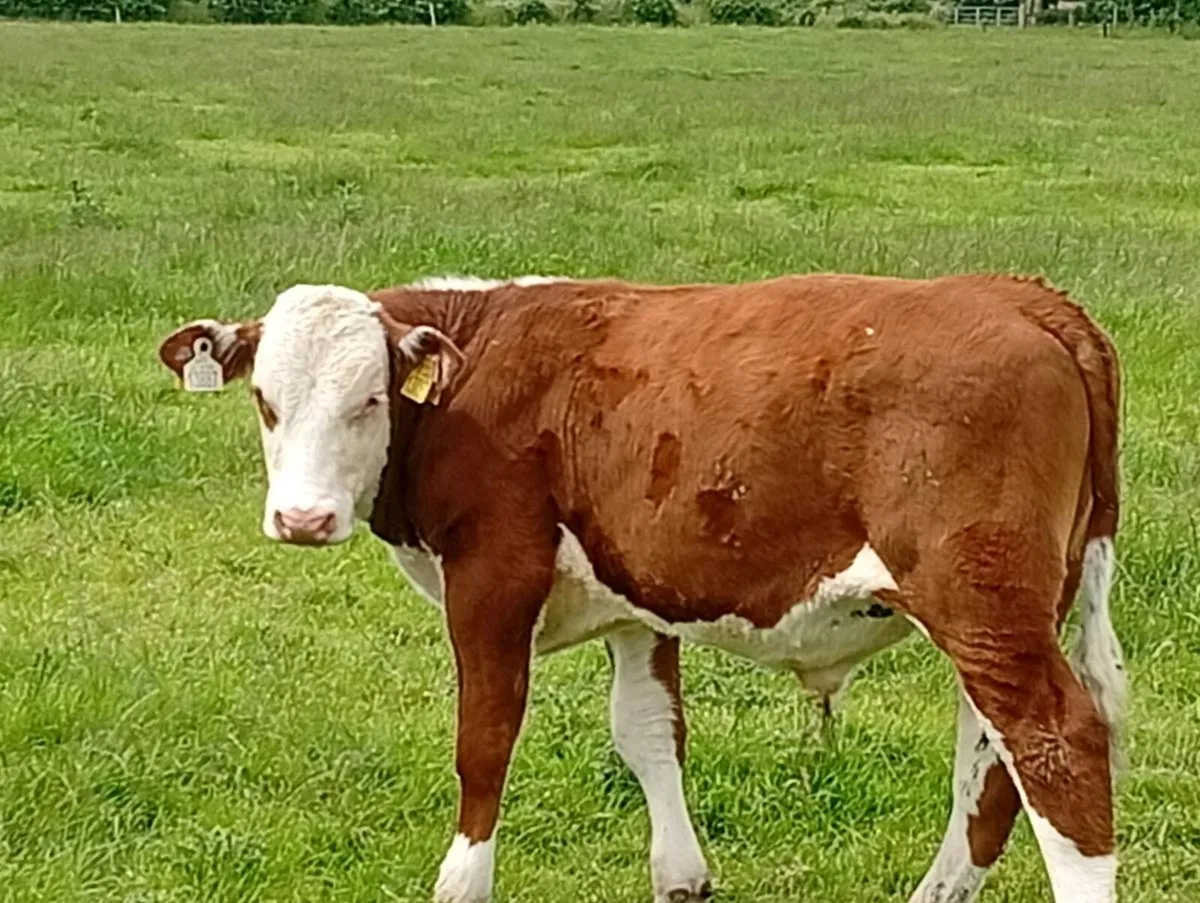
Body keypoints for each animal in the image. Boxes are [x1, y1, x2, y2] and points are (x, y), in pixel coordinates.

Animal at [158, 273, 1127, 903]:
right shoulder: (636, 601)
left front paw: (461, 881)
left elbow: (484, 738)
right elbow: (649, 733)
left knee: (1054, 747)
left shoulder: (492, 579)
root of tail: (1021, 296)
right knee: (991, 764)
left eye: (369, 398)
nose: (303, 518)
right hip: (1008, 611)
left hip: (984, 606)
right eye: (266, 401)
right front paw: (683, 876)